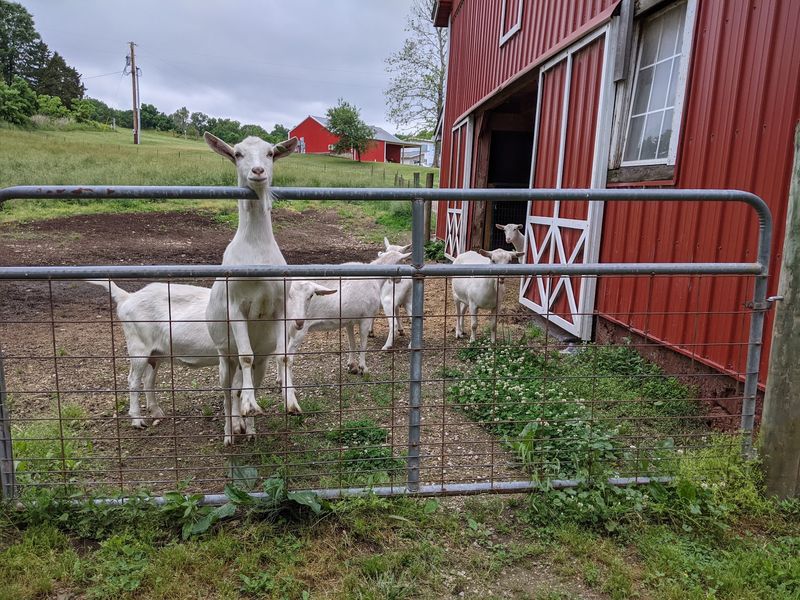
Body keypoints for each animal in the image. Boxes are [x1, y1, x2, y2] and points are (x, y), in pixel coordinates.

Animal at [85, 279, 334, 433]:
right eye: (285, 295)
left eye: (311, 296)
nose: (298, 321)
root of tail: (127, 298)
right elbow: (236, 389)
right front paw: (237, 425)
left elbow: (238, 389)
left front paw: (241, 423)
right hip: (138, 346)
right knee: (133, 381)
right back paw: (137, 420)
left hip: (157, 352)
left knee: (148, 380)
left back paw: (157, 412)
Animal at [204, 132, 300, 445]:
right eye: (237, 154)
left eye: (270, 153)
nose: (258, 172)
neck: (256, 252)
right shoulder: (236, 305)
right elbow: (245, 356)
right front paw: (248, 409)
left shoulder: (281, 304)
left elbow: (284, 355)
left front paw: (290, 402)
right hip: (224, 355)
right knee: (227, 389)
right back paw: (230, 432)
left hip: (261, 359)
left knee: (243, 384)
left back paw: (248, 429)